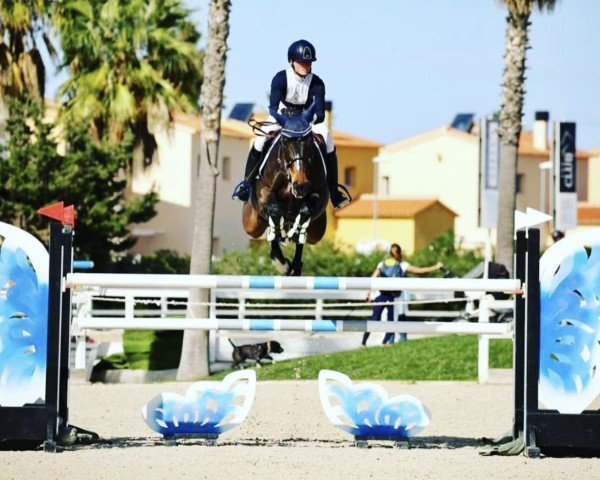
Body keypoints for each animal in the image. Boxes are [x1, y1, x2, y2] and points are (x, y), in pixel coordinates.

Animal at [243, 104, 330, 278]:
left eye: (309, 141)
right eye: (285, 140)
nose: (300, 184)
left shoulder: (318, 194)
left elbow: (305, 213)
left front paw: (296, 232)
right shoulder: (264, 192)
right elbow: (274, 212)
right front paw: (281, 257)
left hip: (317, 232)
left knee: (302, 239)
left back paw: (294, 265)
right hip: (252, 224)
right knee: (269, 230)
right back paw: (282, 262)